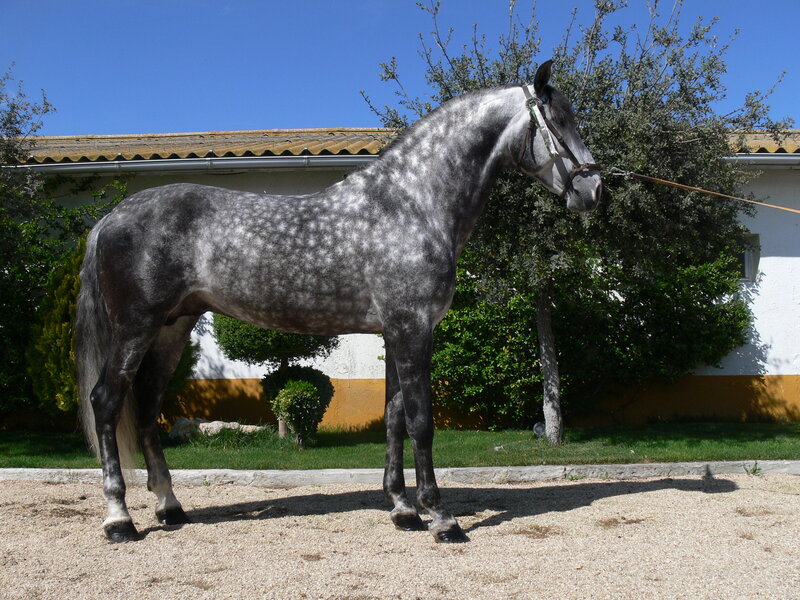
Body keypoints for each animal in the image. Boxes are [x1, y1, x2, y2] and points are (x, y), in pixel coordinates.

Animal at [74, 60, 602, 544]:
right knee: (106, 402)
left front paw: (403, 510)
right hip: (135, 329)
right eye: (559, 120)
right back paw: (119, 520)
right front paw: (441, 518)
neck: (413, 203)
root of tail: (112, 216)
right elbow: (421, 421)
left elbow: (394, 419)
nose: (595, 189)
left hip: (171, 329)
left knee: (145, 407)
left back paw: (170, 508)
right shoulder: (413, 328)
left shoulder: (394, 333)